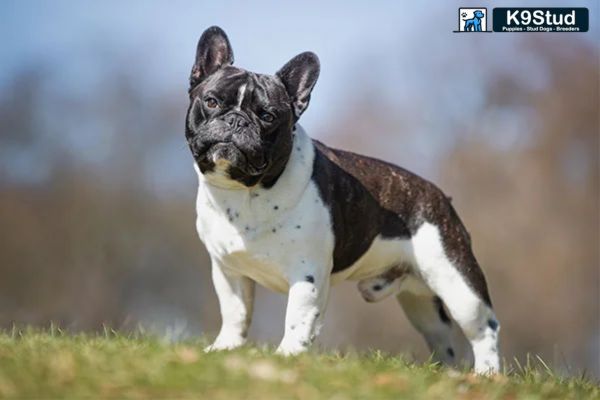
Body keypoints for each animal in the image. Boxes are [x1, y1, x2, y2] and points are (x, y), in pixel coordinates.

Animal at [186, 26, 502, 374]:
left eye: (267, 116)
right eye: (212, 101)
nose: (236, 120)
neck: (245, 192)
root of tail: (441, 197)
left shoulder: (307, 273)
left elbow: (297, 318)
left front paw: (287, 356)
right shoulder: (228, 270)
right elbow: (235, 313)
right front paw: (225, 349)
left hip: (457, 282)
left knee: (484, 329)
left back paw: (487, 374)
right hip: (421, 302)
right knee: (442, 337)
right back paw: (446, 374)